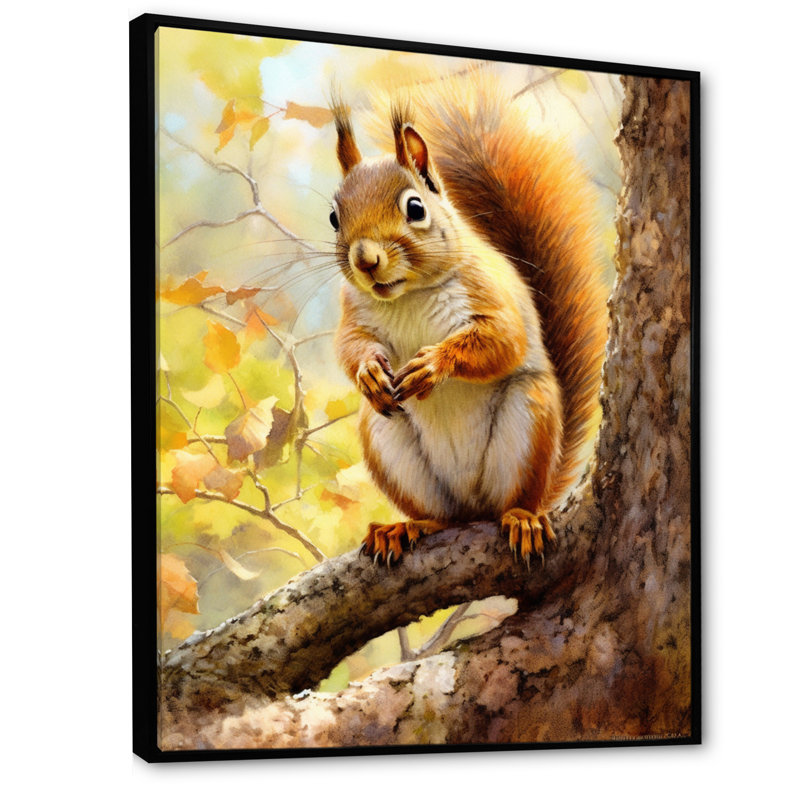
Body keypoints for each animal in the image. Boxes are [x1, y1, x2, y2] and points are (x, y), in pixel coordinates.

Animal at [329, 76, 608, 568]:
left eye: (416, 208)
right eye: (333, 218)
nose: (365, 260)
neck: (407, 295)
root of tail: (472, 509)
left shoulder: (489, 291)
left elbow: (502, 341)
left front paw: (432, 365)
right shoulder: (353, 312)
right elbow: (350, 346)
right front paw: (368, 373)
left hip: (528, 419)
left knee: (512, 501)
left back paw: (522, 519)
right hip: (386, 437)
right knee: (439, 515)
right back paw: (407, 527)